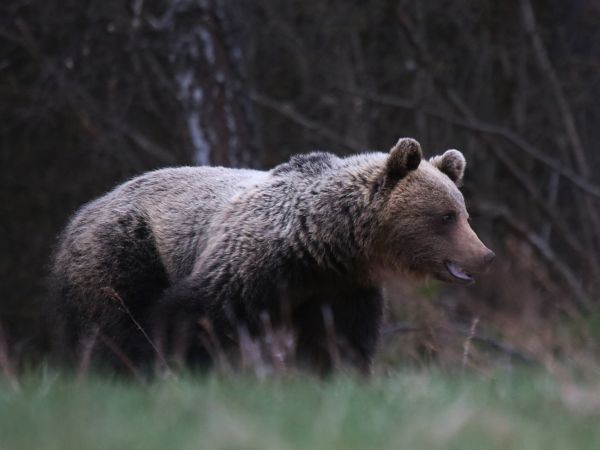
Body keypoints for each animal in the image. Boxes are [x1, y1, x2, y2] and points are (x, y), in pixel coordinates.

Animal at [49, 137, 494, 372]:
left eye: (463, 213)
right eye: (445, 217)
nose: (485, 255)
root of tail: (79, 216)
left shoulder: (342, 289)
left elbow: (340, 341)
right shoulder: (252, 264)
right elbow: (192, 314)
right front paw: (173, 361)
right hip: (127, 250)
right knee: (117, 319)